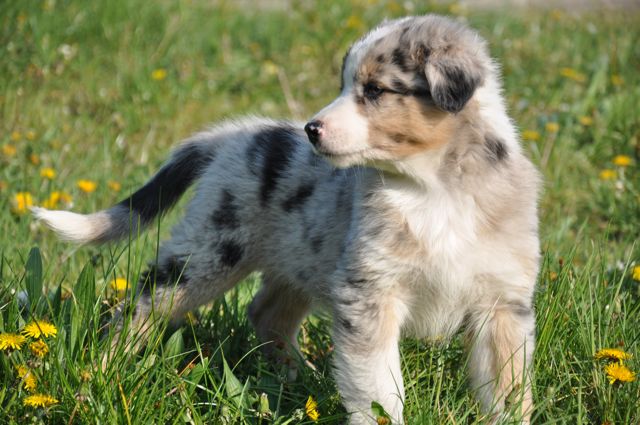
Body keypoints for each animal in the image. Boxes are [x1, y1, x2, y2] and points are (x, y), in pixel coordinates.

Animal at [35, 14, 540, 424]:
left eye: (375, 90)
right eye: (344, 85)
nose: (310, 129)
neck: (434, 190)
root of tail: (234, 135)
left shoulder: (502, 304)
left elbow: (509, 391)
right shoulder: (369, 292)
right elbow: (378, 388)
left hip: (299, 260)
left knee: (267, 313)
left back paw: (294, 377)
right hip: (209, 253)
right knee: (138, 304)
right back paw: (102, 370)